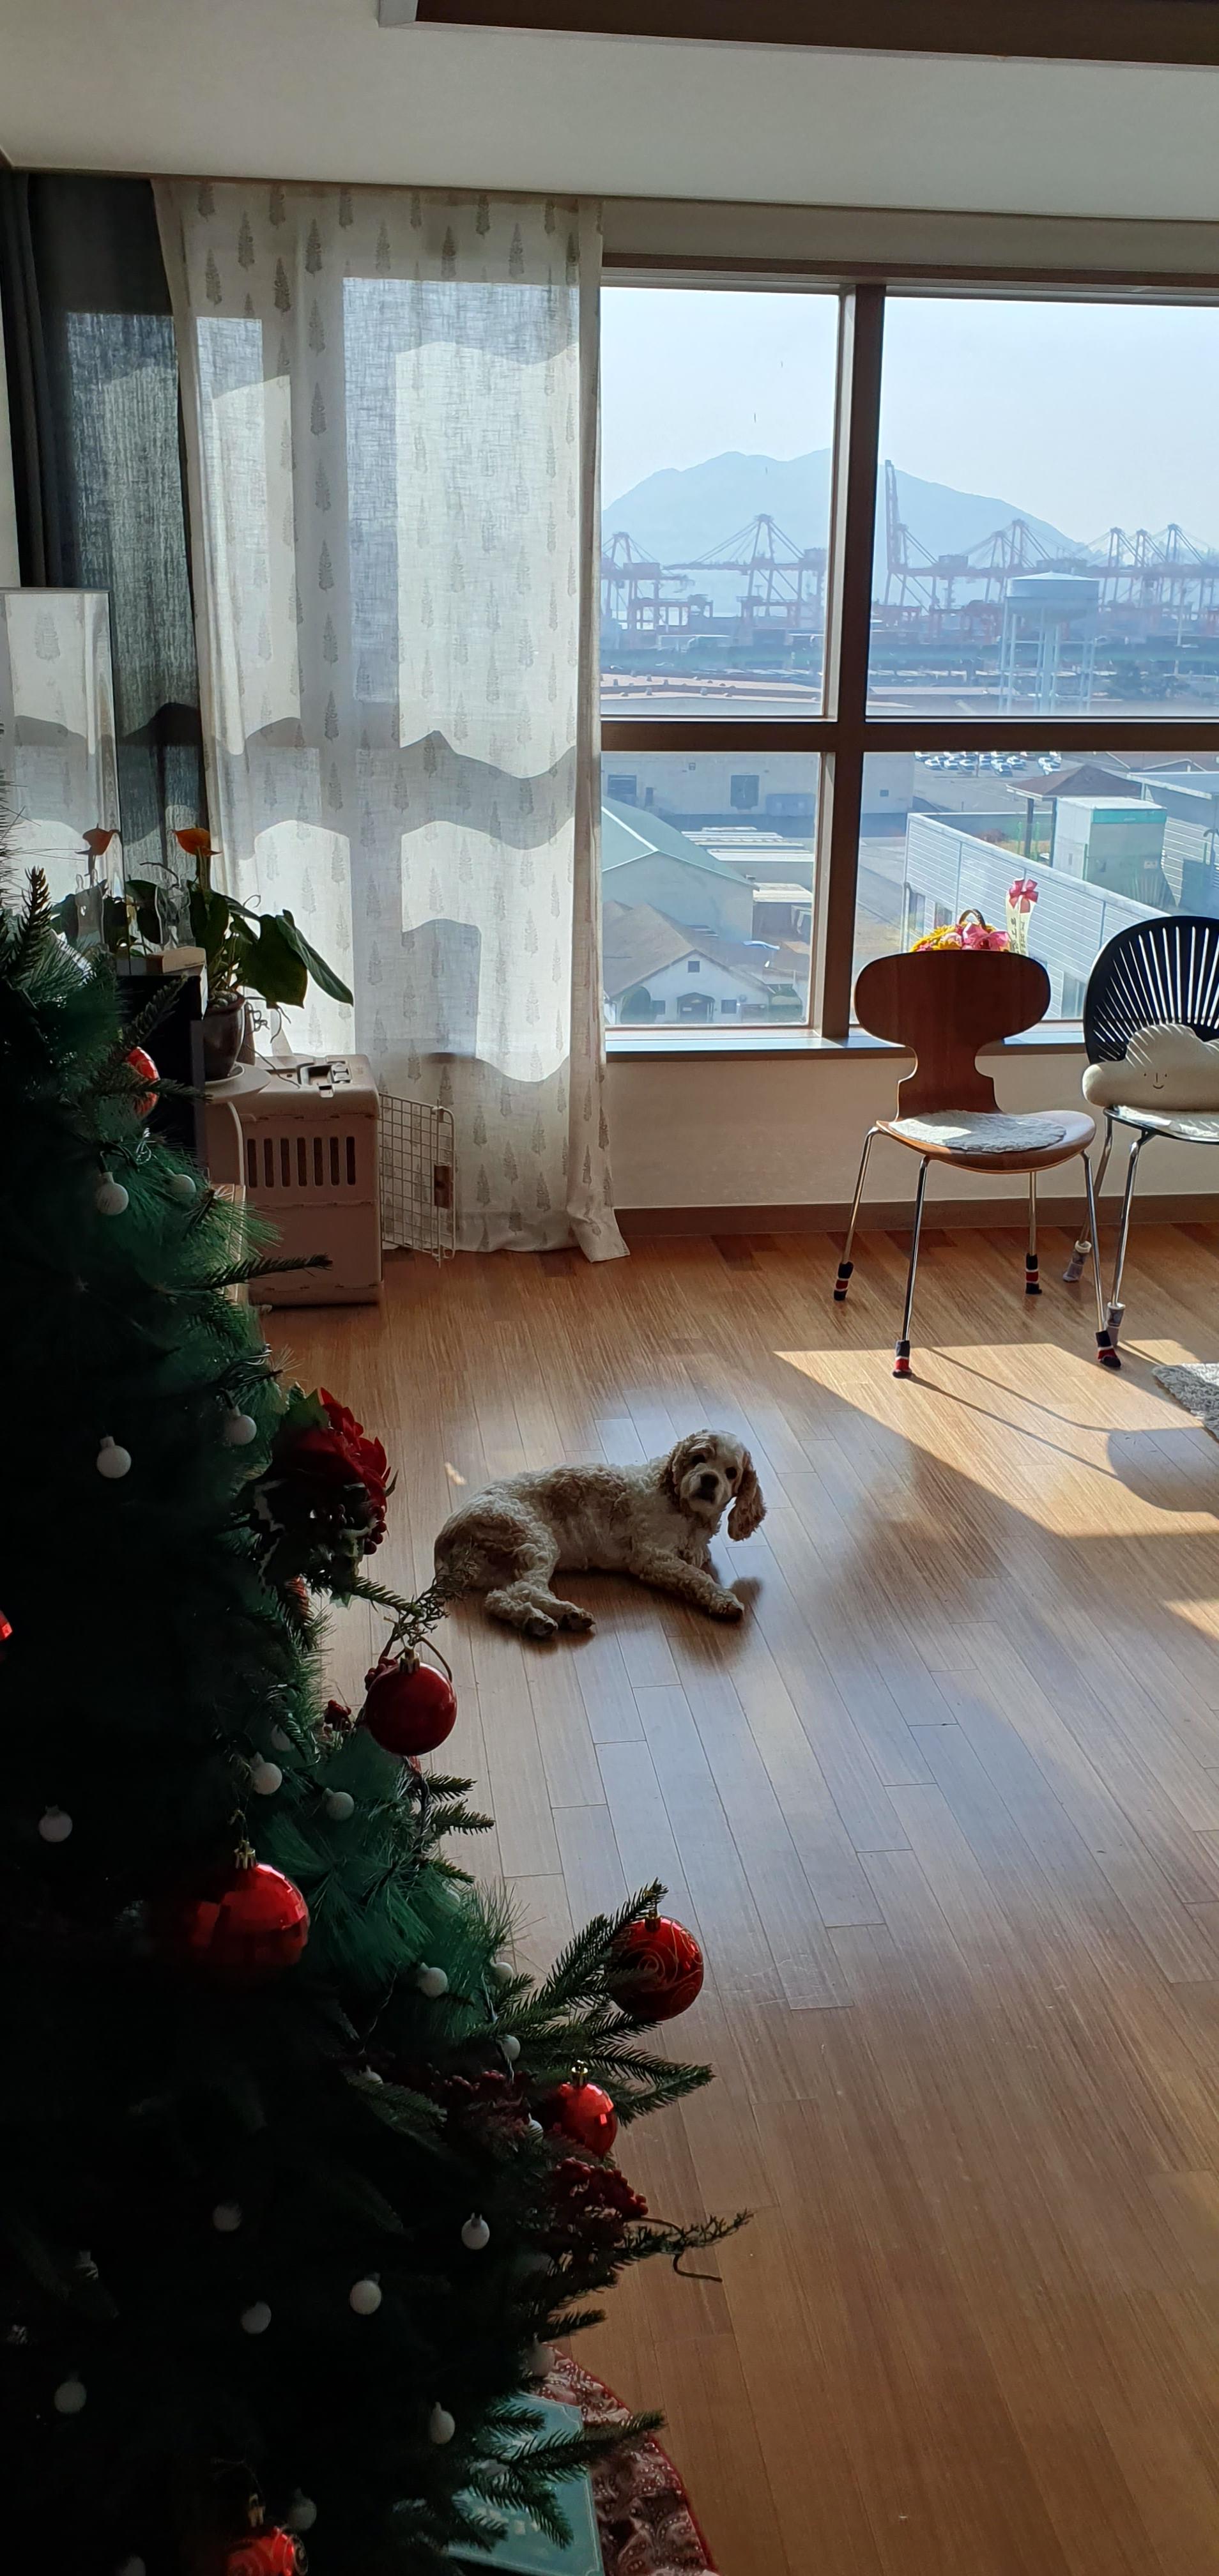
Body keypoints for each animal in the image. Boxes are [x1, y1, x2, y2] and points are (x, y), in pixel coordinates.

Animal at [434, 1430, 765, 1640]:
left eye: (732, 1472)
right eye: (699, 1458)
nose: (709, 1479)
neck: (685, 1511)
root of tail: (446, 1539)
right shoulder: (653, 1557)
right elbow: (697, 1576)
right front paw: (723, 1600)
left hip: (511, 1561)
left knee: (499, 1598)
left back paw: (536, 1621)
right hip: (533, 1540)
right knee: (527, 1588)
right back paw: (564, 1614)